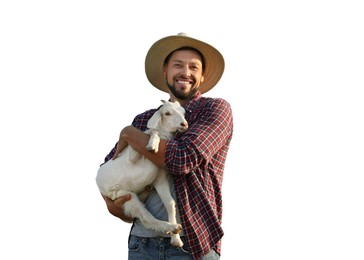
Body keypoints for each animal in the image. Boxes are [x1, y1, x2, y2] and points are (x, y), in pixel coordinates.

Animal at [96, 99, 188, 248]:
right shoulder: (132, 155)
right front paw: (152, 146)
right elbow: (152, 131)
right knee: (145, 217)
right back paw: (171, 227)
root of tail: (97, 180)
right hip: (124, 195)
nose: (184, 124)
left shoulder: (160, 178)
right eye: (167, 113)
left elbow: (170, 203)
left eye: (184, 112)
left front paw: (176, 240)